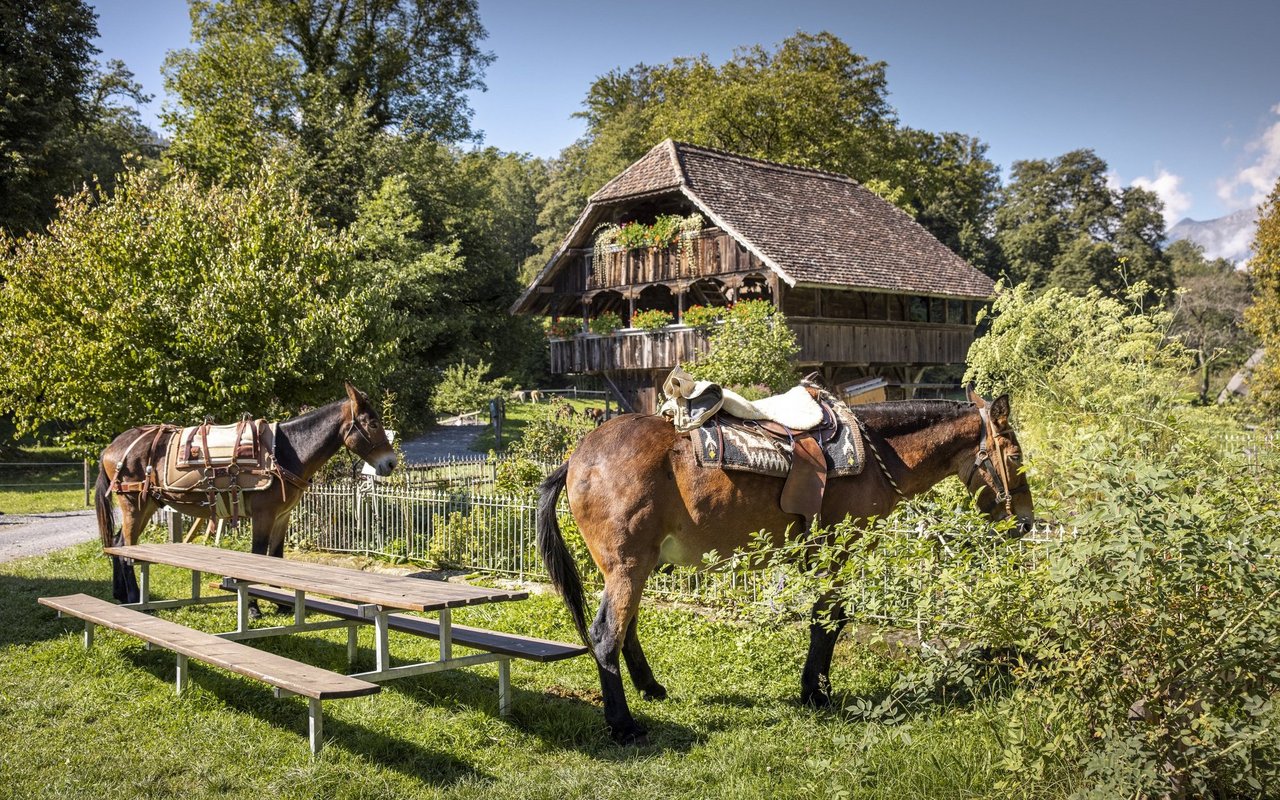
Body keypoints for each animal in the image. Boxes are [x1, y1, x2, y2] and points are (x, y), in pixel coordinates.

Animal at [95, 384, 396, 601]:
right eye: (372, 423)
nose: (391, 463)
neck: (286, 451)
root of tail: (112, 447)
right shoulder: (263, 515)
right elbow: (256, 558)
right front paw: (253, 607)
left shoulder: (282, 516)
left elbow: (276, 557)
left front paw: (281, 603)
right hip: (133, 505)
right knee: (126, 549)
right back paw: (133, 595)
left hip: (146, 505)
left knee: (117, 544)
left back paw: (120, 594)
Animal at [535, 386, 1034, 742]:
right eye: (1015, 457)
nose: (1026, 522)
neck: (877, 454)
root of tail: (576, 457)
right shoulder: (839, 551)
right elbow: (828, 621)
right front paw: (816, 691)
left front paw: (815, 688)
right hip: (628, 565)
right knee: (605, 635)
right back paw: (623, 724)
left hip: (636, 566)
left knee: (628, 628)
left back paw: (649, 687)